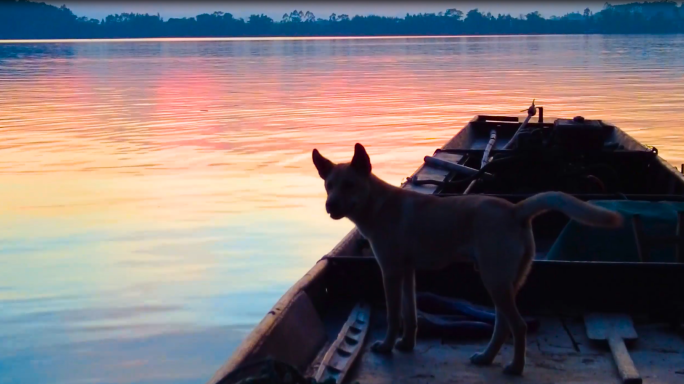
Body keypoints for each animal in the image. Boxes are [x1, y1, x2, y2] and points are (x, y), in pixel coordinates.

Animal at [312, 143, 624, 376]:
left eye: (350, 185)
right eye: (329, 185)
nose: (329, 205)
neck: (377, 205)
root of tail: (516, 210)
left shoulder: (390, 272)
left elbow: (392, 315)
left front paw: (387, 346)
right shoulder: (407, 272)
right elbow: (409, 315)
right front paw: (407, 344)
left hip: (494, 280)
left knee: (518, 326)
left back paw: (515, 367)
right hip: (504, 281)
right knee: (502, 326)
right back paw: (486, 358)